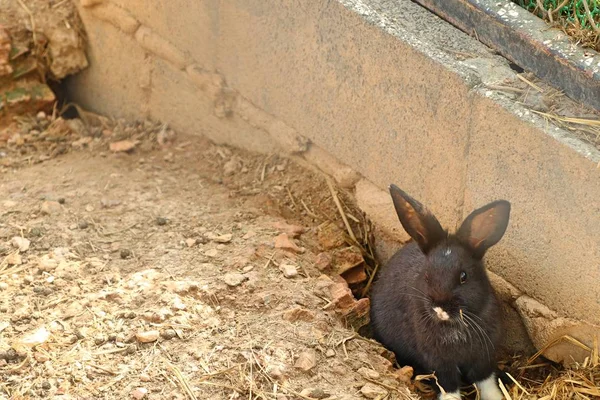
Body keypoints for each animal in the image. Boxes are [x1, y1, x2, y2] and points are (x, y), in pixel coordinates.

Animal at [370, 184, 510, 400]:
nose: (440, 309)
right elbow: (448, 385)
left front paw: (495, 397)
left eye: (463, 276)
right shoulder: (438, 361)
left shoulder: (483, 355)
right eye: (427, 276)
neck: (455, 326)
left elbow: (485, 379)